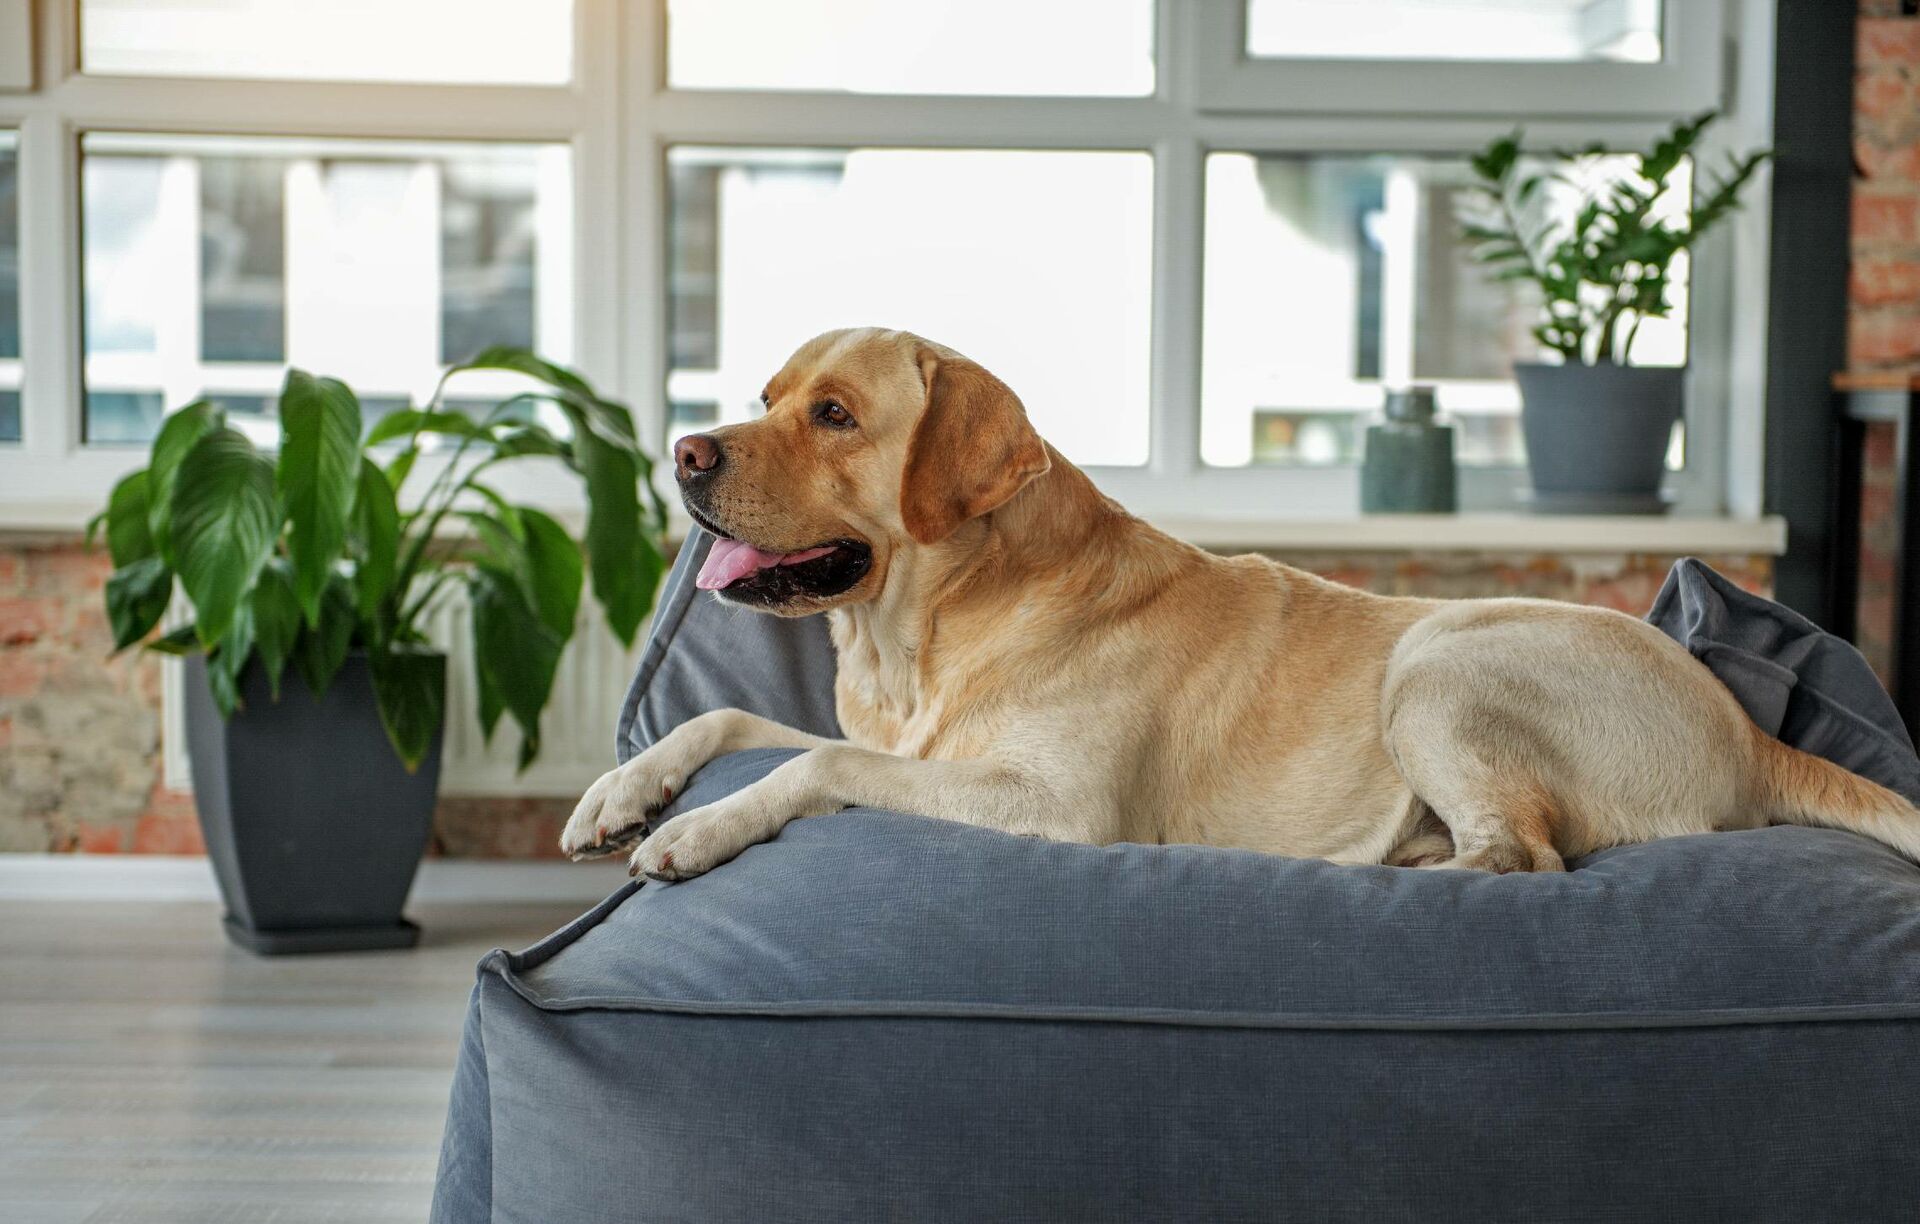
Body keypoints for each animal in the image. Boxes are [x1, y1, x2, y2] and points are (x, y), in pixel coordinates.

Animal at [560, 328, 1920, 882]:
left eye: (836, 415)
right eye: (765, 395)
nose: (685, 453)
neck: (934, 630)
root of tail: (1753, 731)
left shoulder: (1054, 807)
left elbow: (815, 767)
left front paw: (695, 832)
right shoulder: (906, 742)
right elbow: (735, 724)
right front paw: (621, 793)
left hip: (1439, 660)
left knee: (1521, 857)